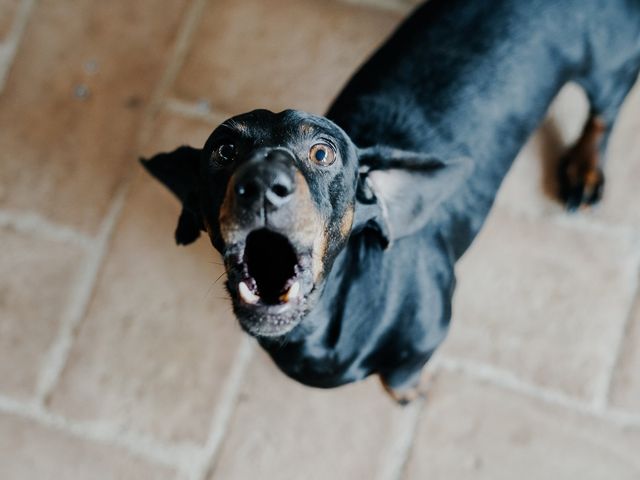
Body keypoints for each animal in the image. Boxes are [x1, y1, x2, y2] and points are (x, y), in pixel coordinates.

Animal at [142, 0, 640, 404]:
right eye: (224, 150)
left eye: (322, 152)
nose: (262, 182)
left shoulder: (431, 330)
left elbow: (400, 376)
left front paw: (410, 391)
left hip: (610, 64)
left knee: (604, 114)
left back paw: (585, 170)